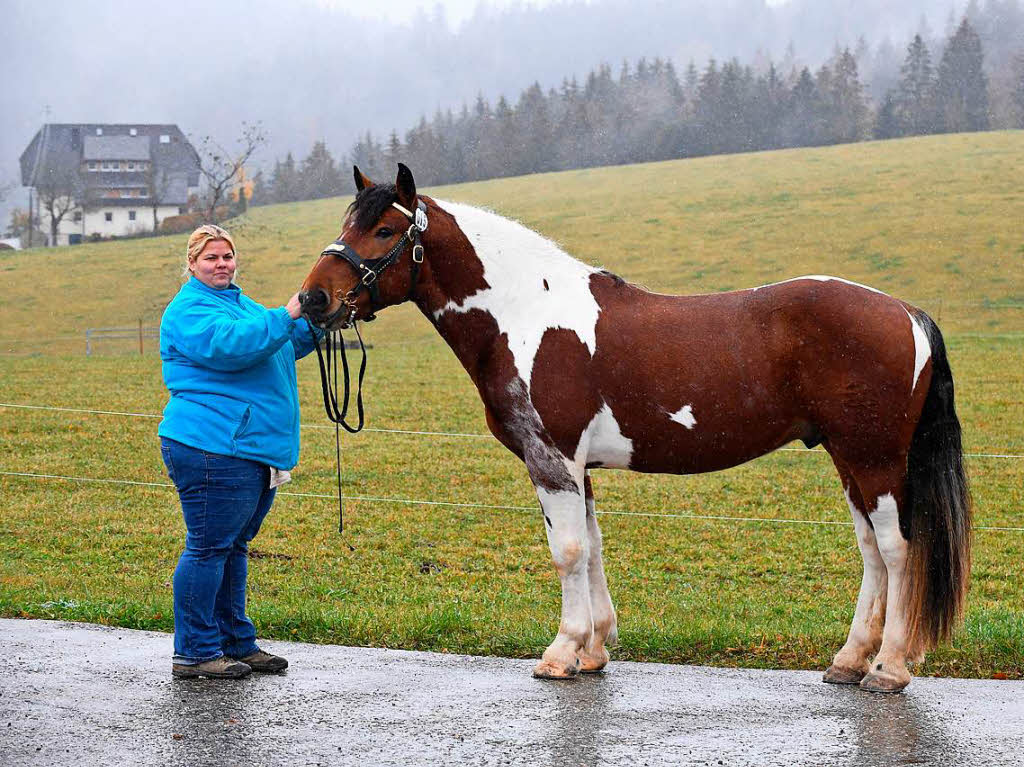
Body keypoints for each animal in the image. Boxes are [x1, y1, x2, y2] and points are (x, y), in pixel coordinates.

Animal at [299, 164, 970, 692]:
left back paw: (888, 668)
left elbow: (568, 552)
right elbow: (592, 547)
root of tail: (905, 312)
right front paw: (595, 650)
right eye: (346, 224)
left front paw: (561, 652)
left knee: (896, 549)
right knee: (872, 552)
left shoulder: (552, 461)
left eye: (385, 230)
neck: (526, 313)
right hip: (850, 458)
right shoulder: (578, 469)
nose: (312, 301)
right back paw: (850, 661)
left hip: (875, 458)